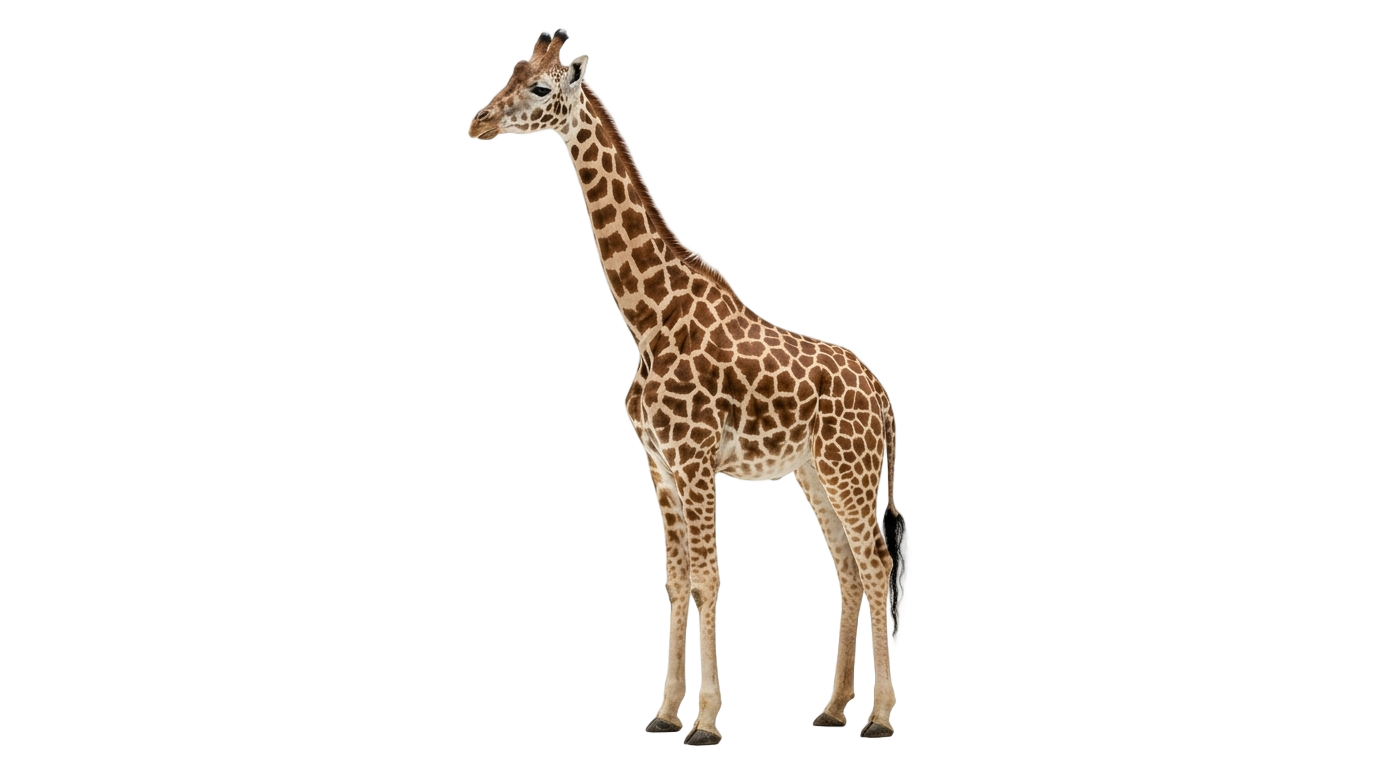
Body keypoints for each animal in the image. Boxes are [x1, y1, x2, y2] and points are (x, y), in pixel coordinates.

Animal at [470, 31, 907, 746]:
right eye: (512, 71)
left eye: (540, 87)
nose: (479, 121)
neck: (647, 320)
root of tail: (884, 399)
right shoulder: (657, 466)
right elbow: (676, 584)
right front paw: (663, 715)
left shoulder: (697, 461)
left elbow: (706, 579)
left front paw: (705, 724)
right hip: (814, 473)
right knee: (845, 570)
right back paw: (832, 709)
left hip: (852, 469)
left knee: (877, 565)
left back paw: (880, 718)